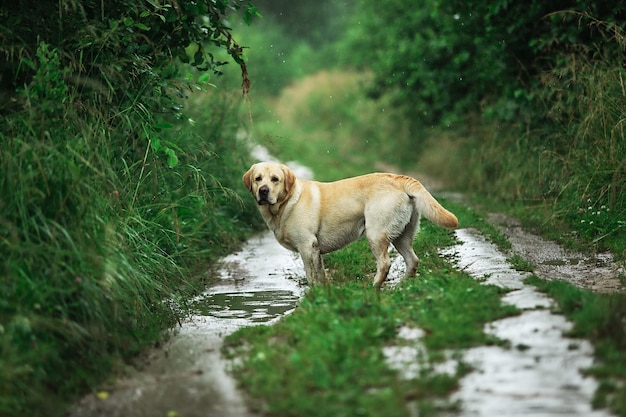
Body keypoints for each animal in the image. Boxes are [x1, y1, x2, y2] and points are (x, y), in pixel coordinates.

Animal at [241, 161, 456, 288]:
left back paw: (373, 288)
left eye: (275, 179)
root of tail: (399, 178)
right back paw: (402, 286)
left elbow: (311, 275)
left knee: (385, 263)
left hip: (376, 233)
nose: (263, 191)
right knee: (413, 260)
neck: (286, 204)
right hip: (402, 235)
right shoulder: (315, 250)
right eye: (258, 179)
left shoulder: (307, 246)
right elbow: (320, 274)